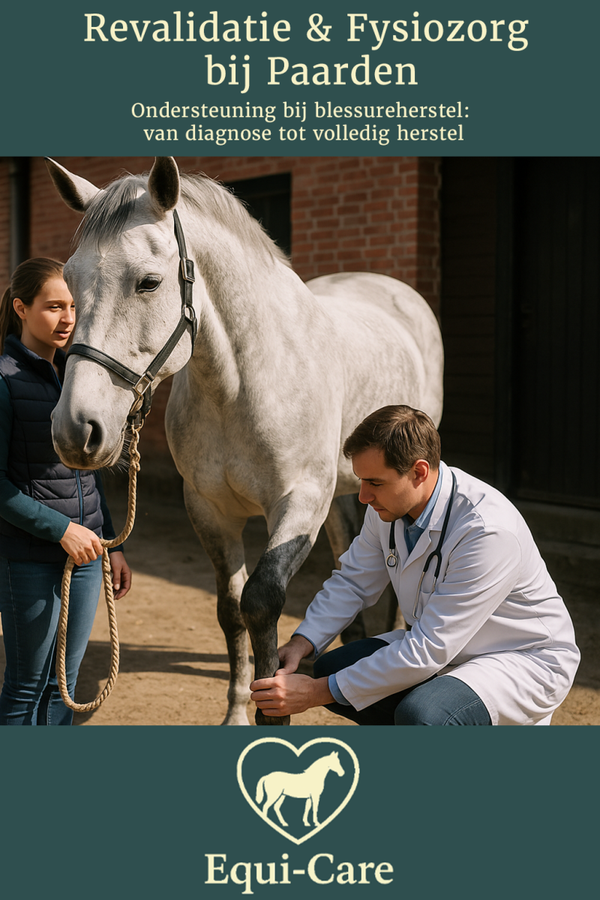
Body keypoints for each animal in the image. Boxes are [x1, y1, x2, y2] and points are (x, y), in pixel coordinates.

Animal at [46, 156, 444, 726]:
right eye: (70, 283)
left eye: (148, 282)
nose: (76, 429)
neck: (241, 385)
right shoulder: (209, 509)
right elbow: (232, 610)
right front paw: (238, 712)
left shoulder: (299, 502)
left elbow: (262, 601)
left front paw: (275, 709)